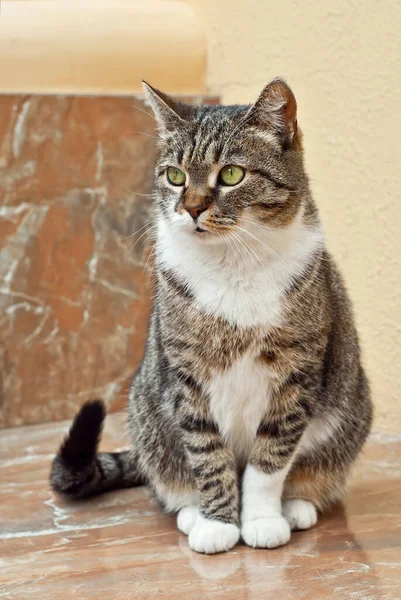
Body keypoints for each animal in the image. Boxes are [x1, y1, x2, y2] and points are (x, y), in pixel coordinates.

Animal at [50, 78, 372, 552]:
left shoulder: (296, 372)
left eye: (232, 175)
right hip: (148, 417)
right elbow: (207, 453)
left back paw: (295, 508)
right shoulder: (187, 374)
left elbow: (268, 461)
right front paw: (218, 523)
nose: (192, 207)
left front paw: (260, 519)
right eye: (175, 176)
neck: (232, 266)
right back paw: (191, 513)